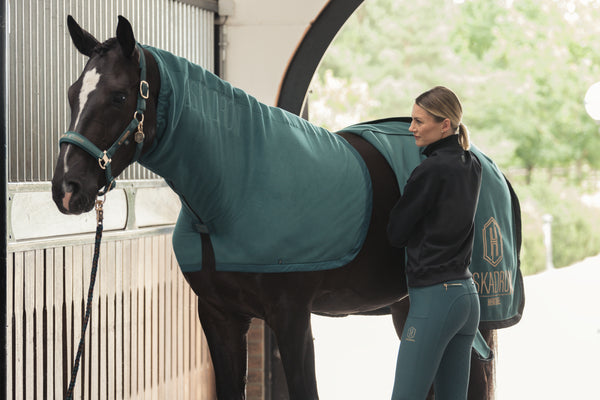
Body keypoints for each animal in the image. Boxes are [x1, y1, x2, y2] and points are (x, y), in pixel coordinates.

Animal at [52, 14, 502, 396]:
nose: (67, 188)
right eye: (73, 94)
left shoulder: (292, 318)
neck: (232, 191)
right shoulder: (218, 316)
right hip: (405, 308)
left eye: (118, 96)